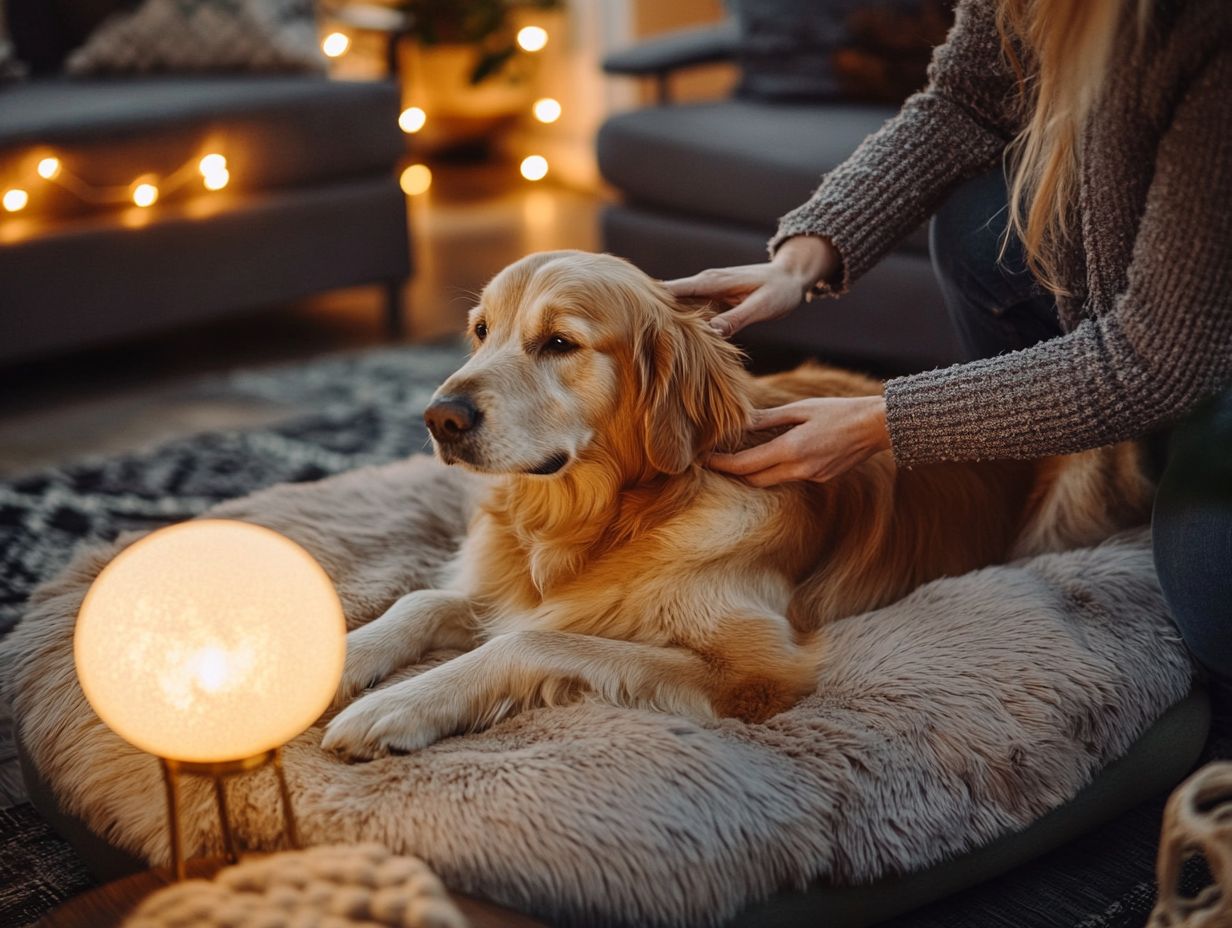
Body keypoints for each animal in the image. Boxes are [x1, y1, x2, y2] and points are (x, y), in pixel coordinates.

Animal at [322, 250, 1148, 754]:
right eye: (480, 331)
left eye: (559, 343)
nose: (440, 418)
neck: (604, 518)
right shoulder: (507, 585)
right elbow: (420, 602)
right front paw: (336, 661)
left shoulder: (759, 671)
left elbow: (530, 642)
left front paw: (397, 705)